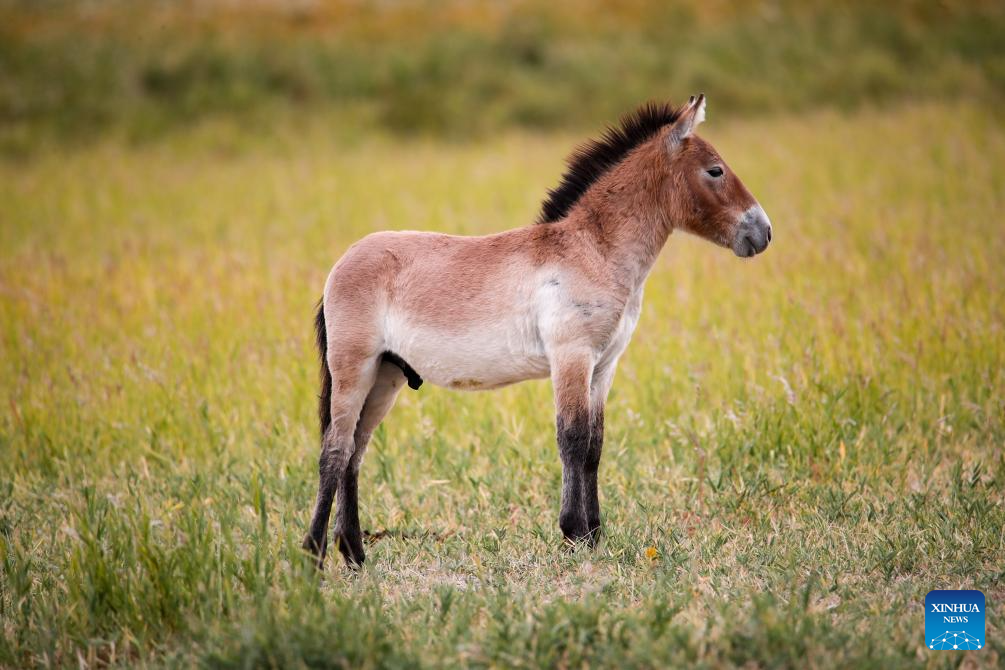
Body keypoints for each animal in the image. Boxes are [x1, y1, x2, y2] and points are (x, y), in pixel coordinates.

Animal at [302, 95, 772, 568]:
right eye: (715, 170)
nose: (763, 232)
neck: (593, 251)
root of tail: (340, 265)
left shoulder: (604, 367)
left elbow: (594, 446)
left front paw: (594, 535)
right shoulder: (571, 357)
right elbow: (572, 439)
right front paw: (574, 533)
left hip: (386, 376)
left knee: (354, 454)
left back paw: (354, 553)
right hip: (354, 370)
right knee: (335, 452)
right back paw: (314, 553)